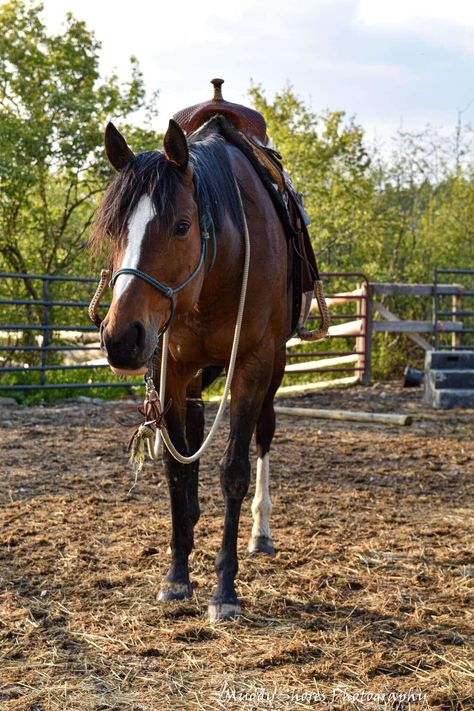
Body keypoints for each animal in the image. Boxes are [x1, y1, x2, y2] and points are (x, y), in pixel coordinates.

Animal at [91, 118, 292, 624]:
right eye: (114, 229)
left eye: (182, 226)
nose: (121, 338)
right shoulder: (173, 367)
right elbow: (176, 468)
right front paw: (177, 574)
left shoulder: (252, 366)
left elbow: (234, 470)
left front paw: (225, 589)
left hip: (276, 369)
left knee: (264, 435)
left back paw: (261, 531)